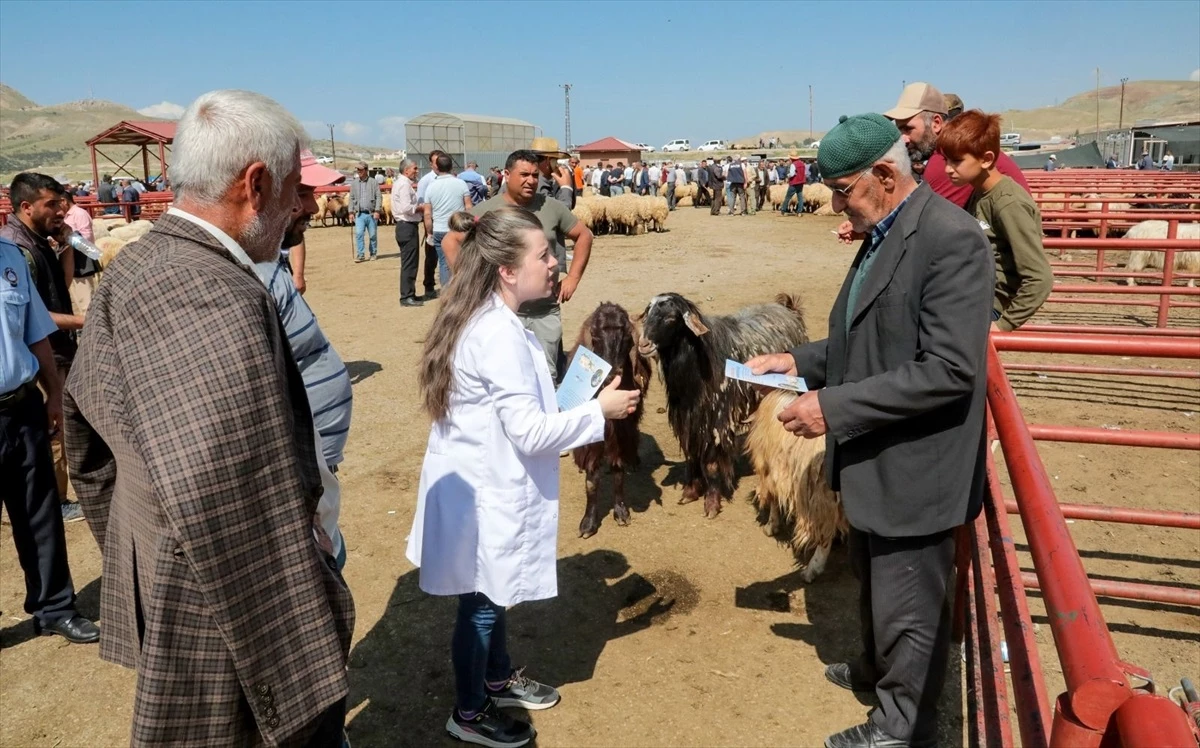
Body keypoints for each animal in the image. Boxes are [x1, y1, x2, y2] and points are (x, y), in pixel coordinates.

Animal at [566, 301, 652, 540]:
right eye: (595, 335)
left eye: (626, 336)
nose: (612, 374)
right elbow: (591, 480)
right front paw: (588, 524)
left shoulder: (621, 433)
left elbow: (618, 473)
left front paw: (621, 513)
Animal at [638, 292, 806, 521]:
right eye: (647, 313)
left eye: (671, 318)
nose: (643, 344)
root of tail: (789, 310)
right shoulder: (689, 421)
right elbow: (692, 455)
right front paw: (691, 492)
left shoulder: (716, 421)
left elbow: (711, 466)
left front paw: (711, 504)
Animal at [744, 389, 849, 583]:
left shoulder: (772, 470)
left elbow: (774, 501)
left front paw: (771, 527)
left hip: (823, 496)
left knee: (824, 535)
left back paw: (812, 569)